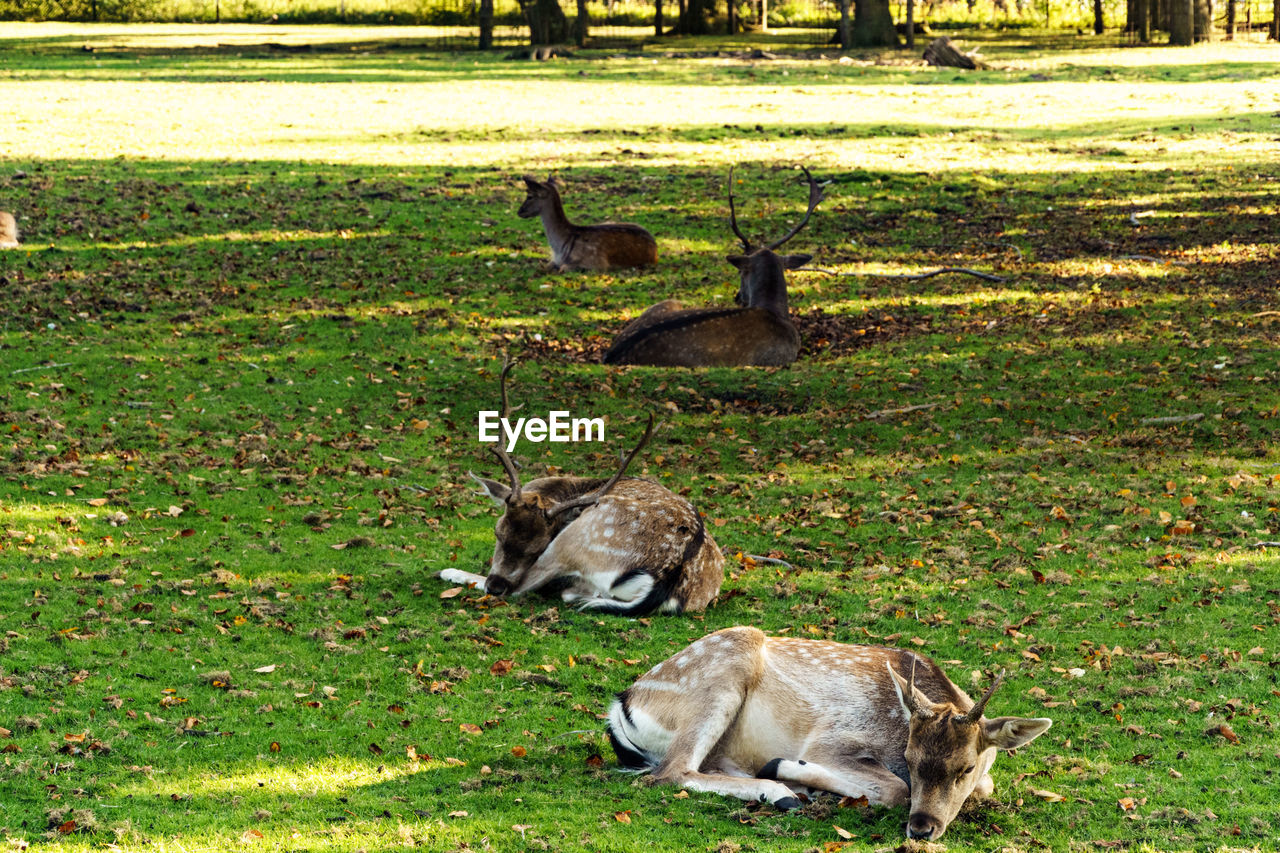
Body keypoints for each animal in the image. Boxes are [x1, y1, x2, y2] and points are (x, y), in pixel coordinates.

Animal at [437, 356, 721, 612]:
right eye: (498, 532)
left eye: (537, 548)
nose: (496, 585)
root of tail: (666, 579)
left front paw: (449, 571)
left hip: (578, 536)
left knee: (529, 589)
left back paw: (453, 572)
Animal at [517, 170, 660, 268]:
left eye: (530, 196)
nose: (519, 212)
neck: (560, 249)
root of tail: (656, 250)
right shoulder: (553, 261)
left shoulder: (597, 263)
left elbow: (564, 268)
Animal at [606, 622, 1049, 840]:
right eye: (909, 757)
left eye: (967, 767)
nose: (922, 828)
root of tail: (622, 707)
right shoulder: (832, 739)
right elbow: (896, 788)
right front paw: (786, 767)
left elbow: (986, 787)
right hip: (722, 672)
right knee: (669, 773)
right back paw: (782, 791)